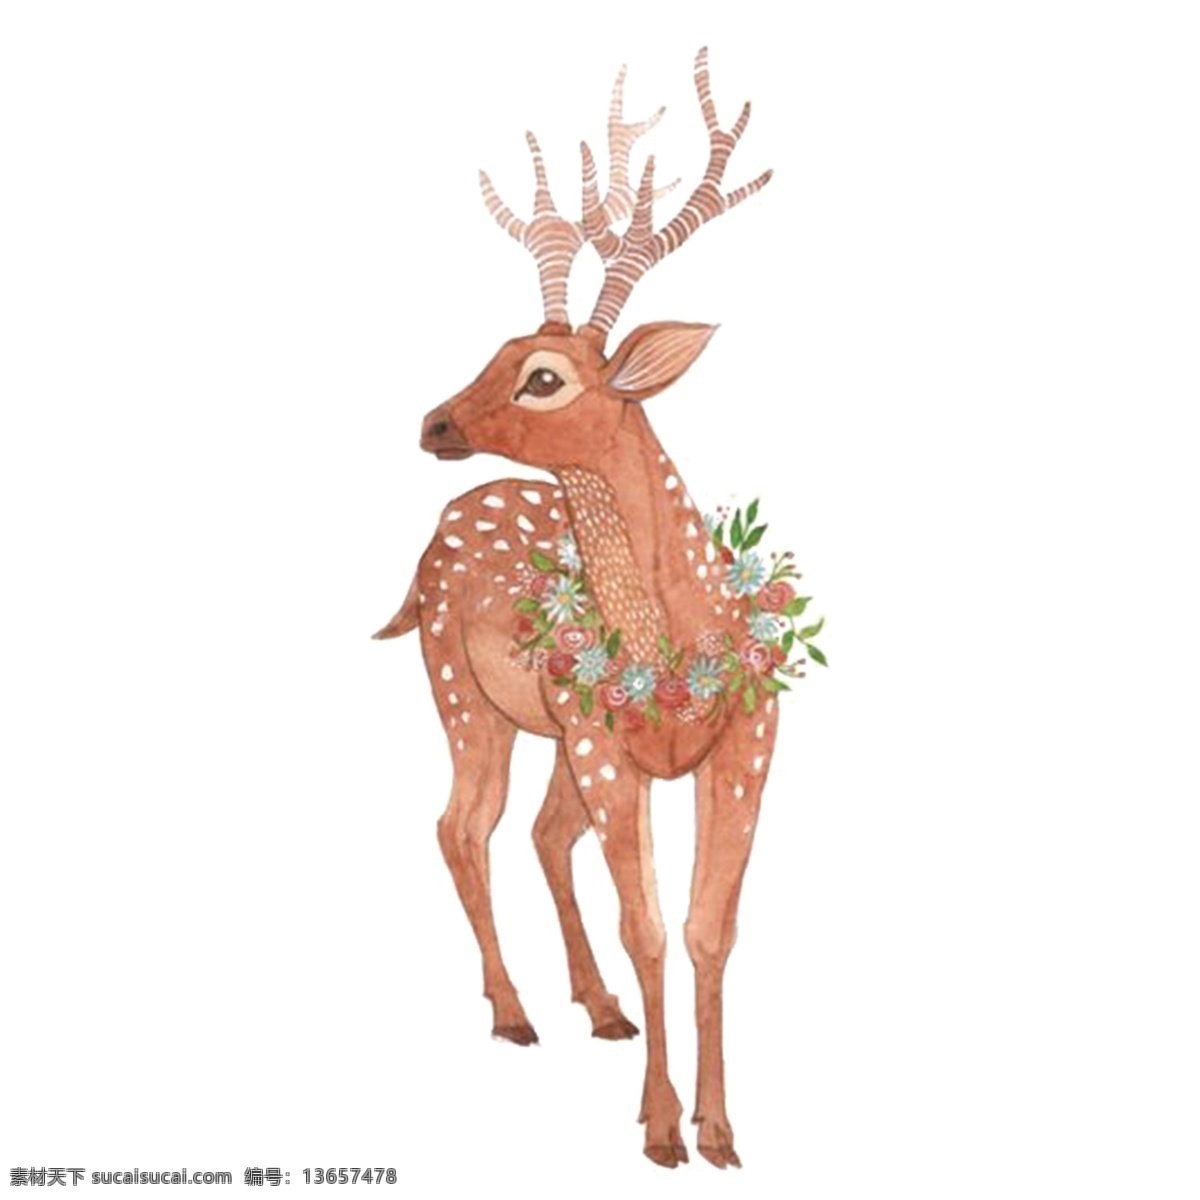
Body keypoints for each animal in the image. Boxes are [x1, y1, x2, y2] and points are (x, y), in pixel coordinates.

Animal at [374, 49, 804, 1169]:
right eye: (495, 347)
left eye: (542, 376)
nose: (433, 422)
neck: (681, 639)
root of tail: (433, 542)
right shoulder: (610, 742)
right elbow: (647, 925)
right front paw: (660, 1129)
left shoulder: (749, 736)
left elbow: (706, 929)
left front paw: (720, 1129)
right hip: (462, 689)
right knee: (462, 824)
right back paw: (515, 1011)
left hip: (547, 727)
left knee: (532, 830)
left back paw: (597, 1008)